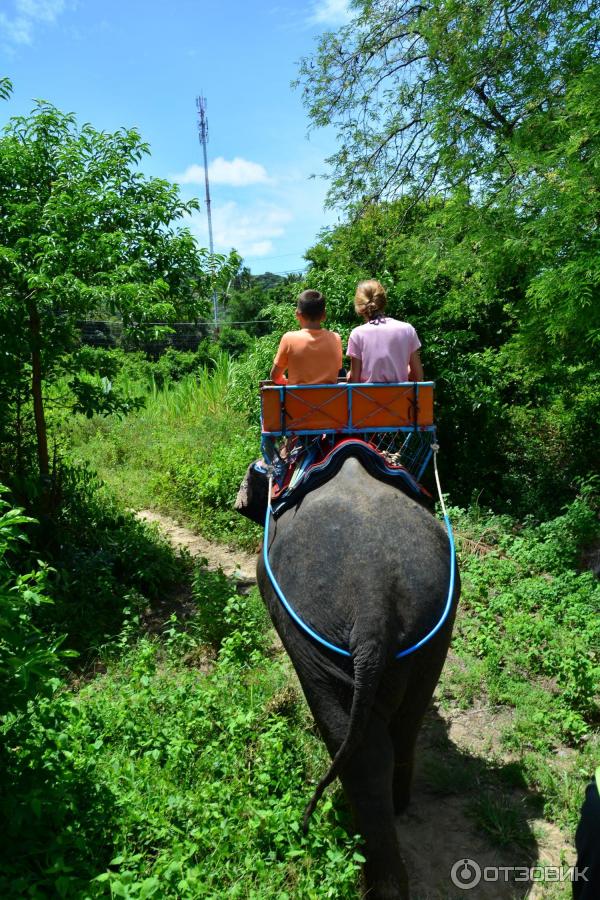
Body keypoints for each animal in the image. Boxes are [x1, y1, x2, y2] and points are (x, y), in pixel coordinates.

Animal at [239, 458, 460, 900]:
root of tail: (375, 599)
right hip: (432, 628)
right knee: (406, 724)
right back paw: (399, 806)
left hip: (315, 632)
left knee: (356, 749)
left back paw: (377, 879)